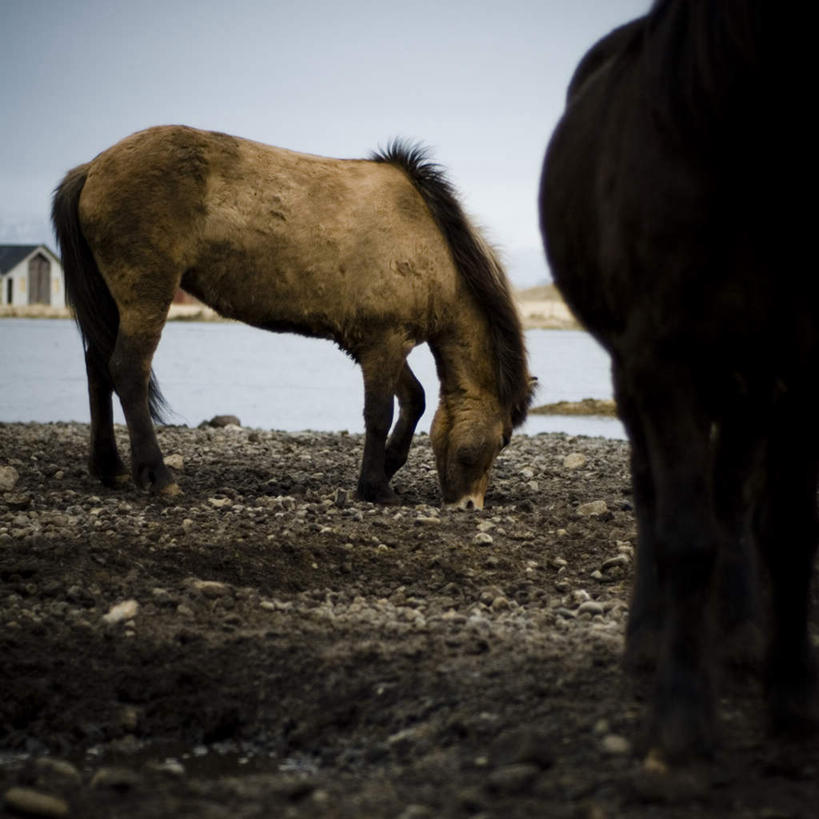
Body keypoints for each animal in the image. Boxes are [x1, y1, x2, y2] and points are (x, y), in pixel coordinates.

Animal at [52, 125, 540, 510]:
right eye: (501, 438)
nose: (469, 505)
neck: (429, 243)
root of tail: (92, 168)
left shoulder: (374, 343)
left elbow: (415, 399)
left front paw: (388, 465)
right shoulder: (383, 342)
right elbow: (379, 412)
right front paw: (376, 486)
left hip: (112, 300)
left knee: (98, 368)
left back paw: (110, 468)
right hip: (147, 294)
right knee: (127, 370)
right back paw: (157, 476)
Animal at [540, 1, 816, 764]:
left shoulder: (802, 362)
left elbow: (786, 530)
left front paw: (791, 702)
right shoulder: (662, 359)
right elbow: (685, 534)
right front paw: (681, 715)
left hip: (750, 384)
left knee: (732, 496)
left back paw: (741, 635)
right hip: (634, 374)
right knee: (652, 494)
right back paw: (648, 640)